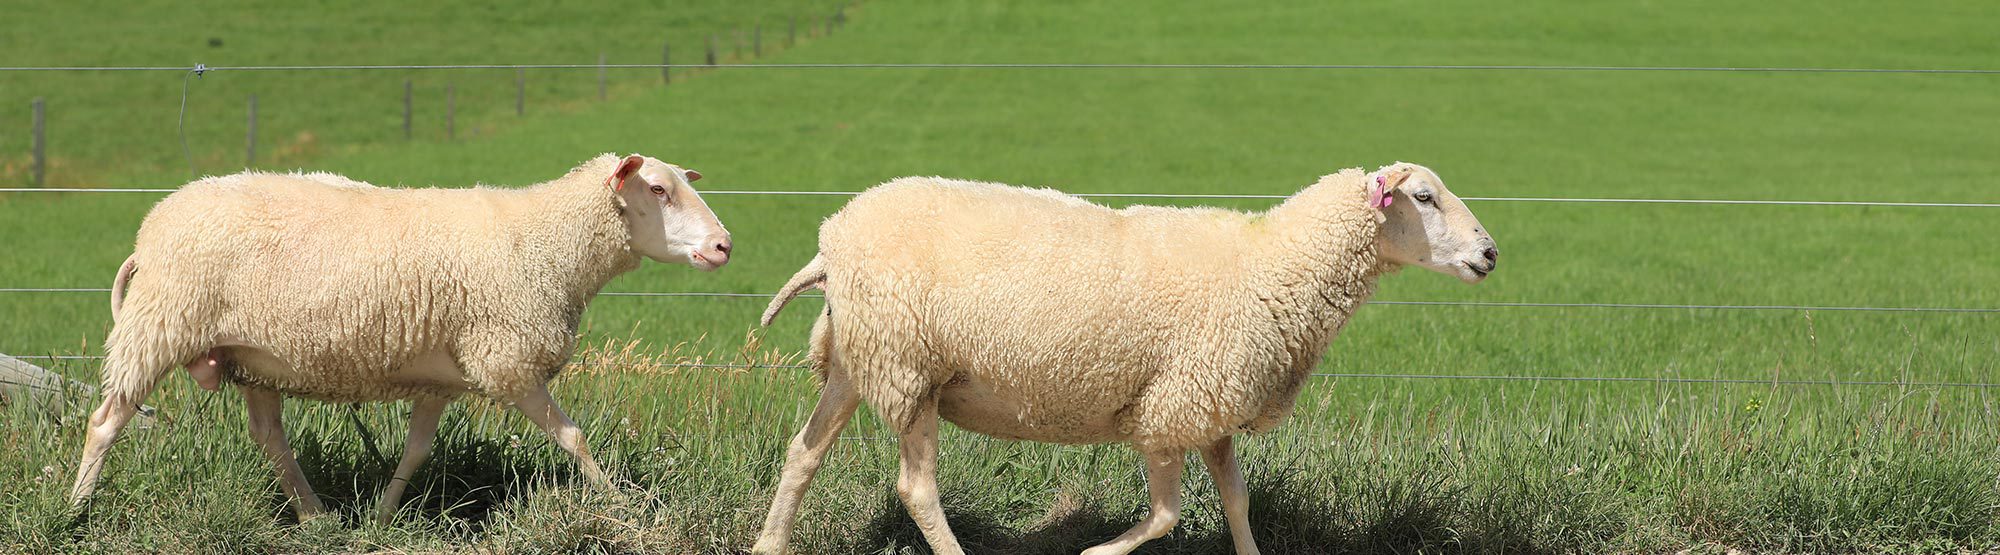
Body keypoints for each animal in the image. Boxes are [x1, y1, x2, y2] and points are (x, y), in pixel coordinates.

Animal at [69, 153, 734, 524]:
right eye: (657, 190)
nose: (725, 246)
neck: (548, 243)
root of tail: (151, 229)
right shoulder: (507, 359)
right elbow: (573, 438)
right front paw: (624, 505)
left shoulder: (443, 377)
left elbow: (416, 451)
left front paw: (384, 517)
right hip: (160, 325)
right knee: (105, 421)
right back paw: (75, 510)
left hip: (251, 358)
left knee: (270, 439)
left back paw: (317, 518)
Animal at [751, 163, 1497, 555]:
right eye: (1424, 197)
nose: (1490, 254)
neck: (1275, 264)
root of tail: (831, 239)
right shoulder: (1172, 405)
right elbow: (1167, 514)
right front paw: (1097, 551)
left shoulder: (1210, 404)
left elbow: (1236, 499)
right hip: (908, 371)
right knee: (916, 488)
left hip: (860, 362)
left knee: (802, 453)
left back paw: (770, 543)